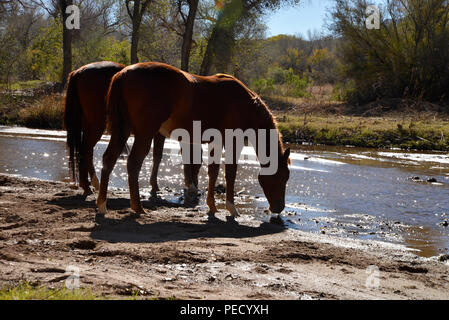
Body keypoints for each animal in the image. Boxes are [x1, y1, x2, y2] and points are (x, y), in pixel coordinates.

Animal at [65, 60, 172, 195]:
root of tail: (79, 71)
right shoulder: (158, 133)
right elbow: (157, 156)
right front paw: (154, 186)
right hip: (96, 125)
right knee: (86, 150)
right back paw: (88, 186)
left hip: (88, 124)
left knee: (87, 151)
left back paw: (91, 184)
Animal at [96, 61, 288, 216]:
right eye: (284, 177)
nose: (279, 208)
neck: (245, 104)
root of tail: (123, 74)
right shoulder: (233, 142)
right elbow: (230, 173)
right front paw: (231, 208)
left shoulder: (216, 142)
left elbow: (213, 172)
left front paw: (212, 206)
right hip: (144, 134)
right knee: (133, 164)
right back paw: (137, 207)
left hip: (123, 131)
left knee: (108, 160)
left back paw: (102, 205)